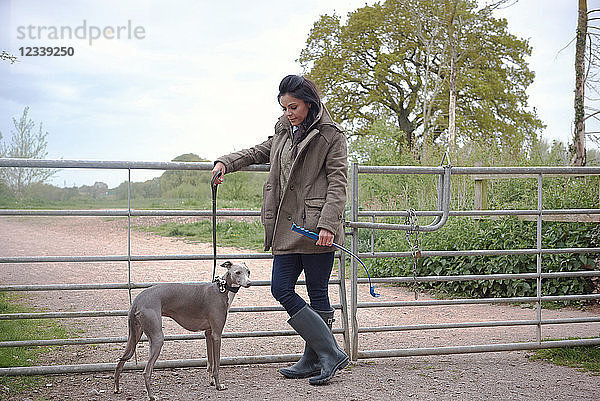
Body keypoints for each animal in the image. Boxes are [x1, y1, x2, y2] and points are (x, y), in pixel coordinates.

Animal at [113, 260, 251, 398]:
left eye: (248, 271)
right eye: (237, 272)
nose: (249, 283)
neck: (221, 290)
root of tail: (137, 300)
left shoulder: (208, 334)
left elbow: (210, 362)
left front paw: (211, 381)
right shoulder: (217, 335)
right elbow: (216, 364)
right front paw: (218, 385)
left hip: (134, 336)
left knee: (119, 363)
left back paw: (117, 388)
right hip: (157, 338)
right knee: (146, 371)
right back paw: (152, 396)